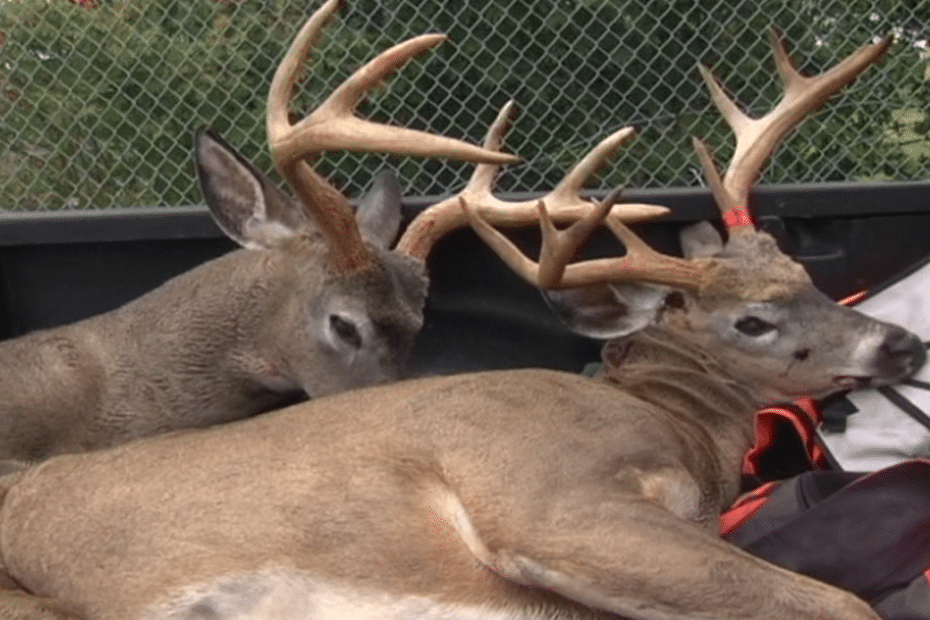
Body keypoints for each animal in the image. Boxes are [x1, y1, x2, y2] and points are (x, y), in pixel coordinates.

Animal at [0, 25, 920, 620]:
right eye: (752, 322)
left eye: (803, 275)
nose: (902, 341)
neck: (680, 429)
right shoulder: (545, 498)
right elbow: (841, 604)